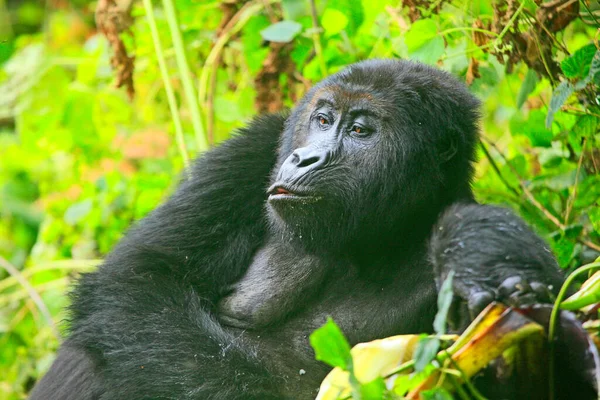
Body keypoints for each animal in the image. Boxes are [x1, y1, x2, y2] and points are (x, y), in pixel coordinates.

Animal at [29, 60, 564, 400]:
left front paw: (492, 269)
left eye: (360, 131)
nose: (304, 158)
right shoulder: (254, 148)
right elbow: (142, 278)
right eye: (322, 119)